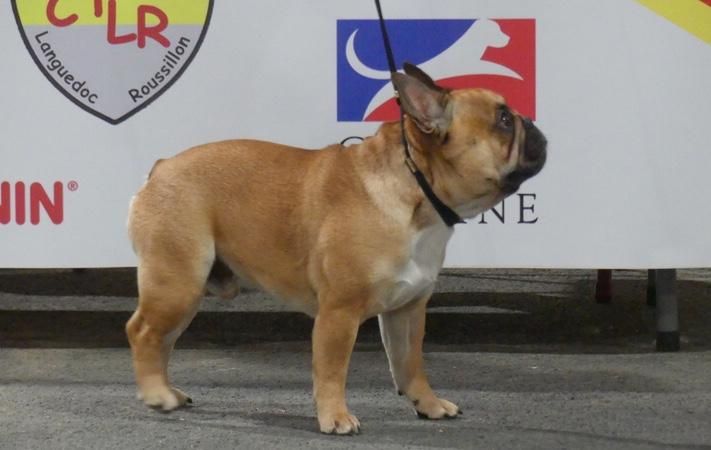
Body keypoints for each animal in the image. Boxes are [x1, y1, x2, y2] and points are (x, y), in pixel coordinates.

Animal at [126, 63, 547, 435]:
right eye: (503, 120)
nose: (531, 123)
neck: (417, 188)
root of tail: (160, 169)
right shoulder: (339, 312)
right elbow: (332, 370)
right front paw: (336, 417)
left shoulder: (408, 309)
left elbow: (411, 362)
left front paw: (427, 404)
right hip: (177, 281)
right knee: (142, 331)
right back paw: (156, 394)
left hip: (185, 290)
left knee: (162, 339)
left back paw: (167, 391)